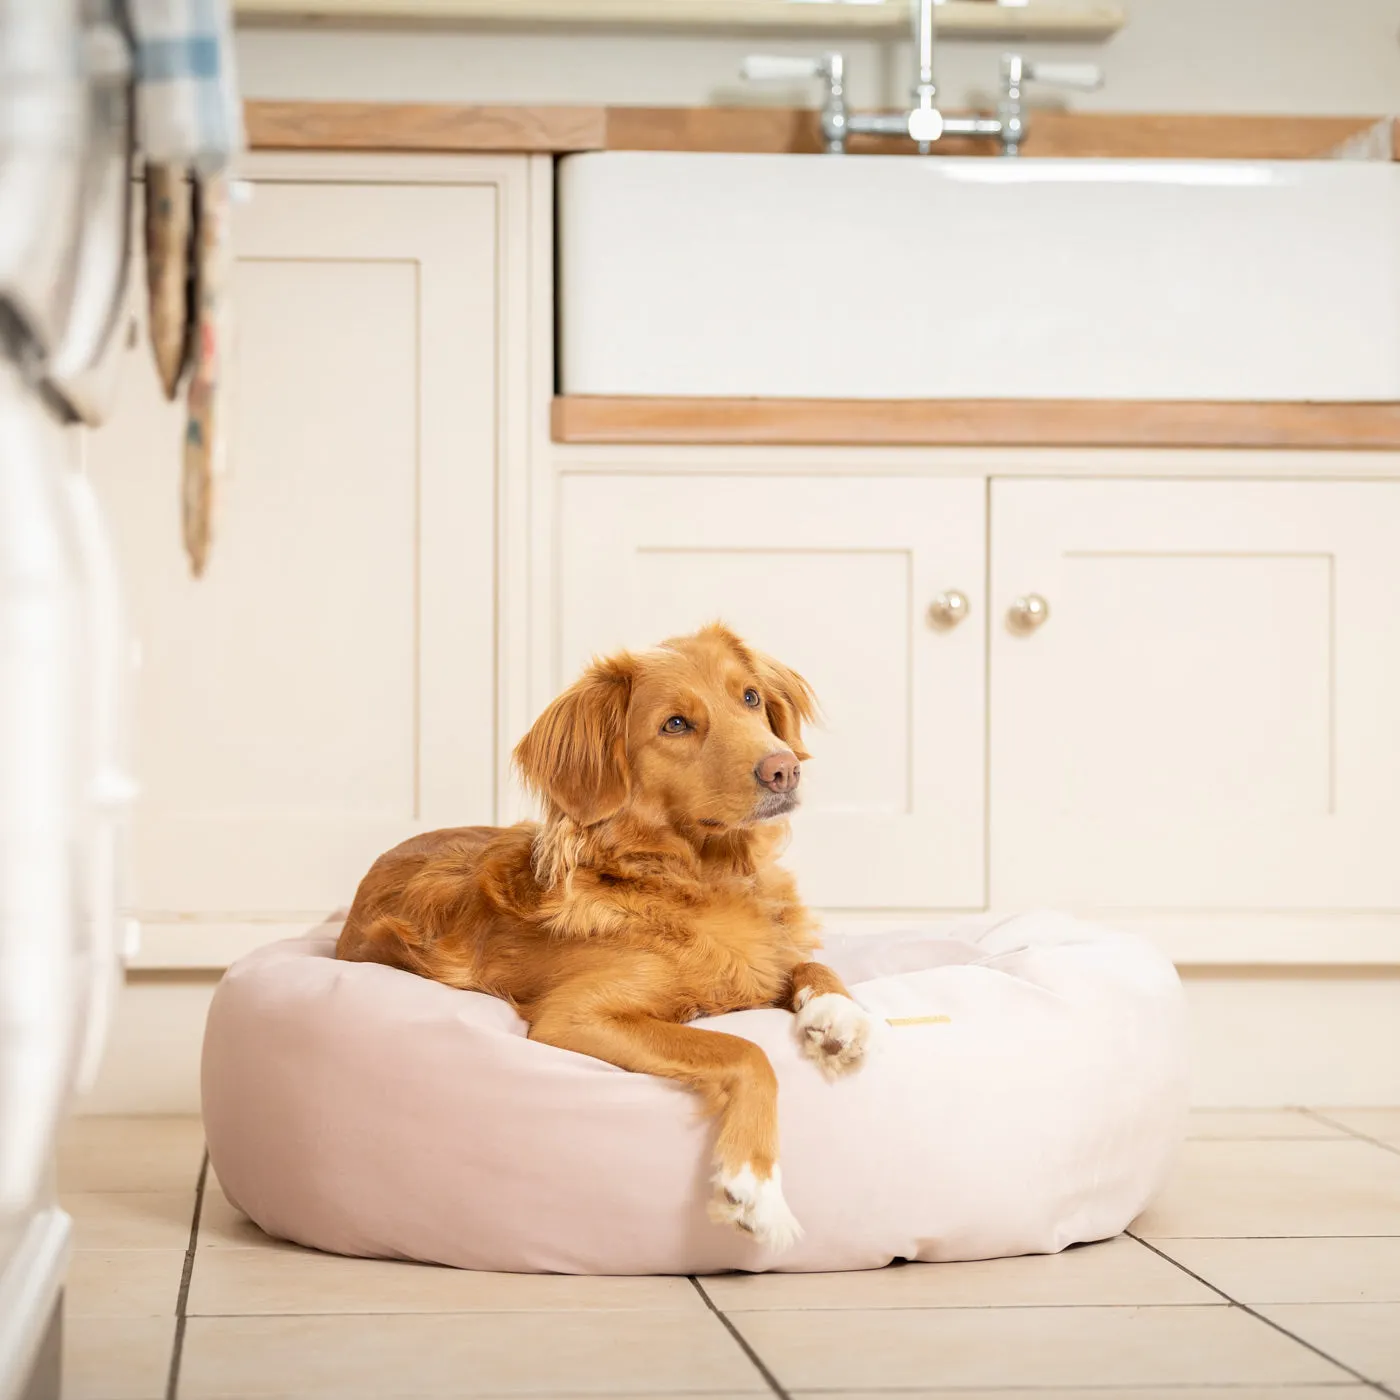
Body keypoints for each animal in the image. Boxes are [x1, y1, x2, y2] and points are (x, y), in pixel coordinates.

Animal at [334, 624, 873, 1248]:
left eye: (751, 698)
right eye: (675, 724)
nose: (784, 768)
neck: (699, 878)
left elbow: (808, 964)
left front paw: (838, 1014)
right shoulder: (574, 1017)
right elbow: (744, 1049)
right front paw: (756, 1186)